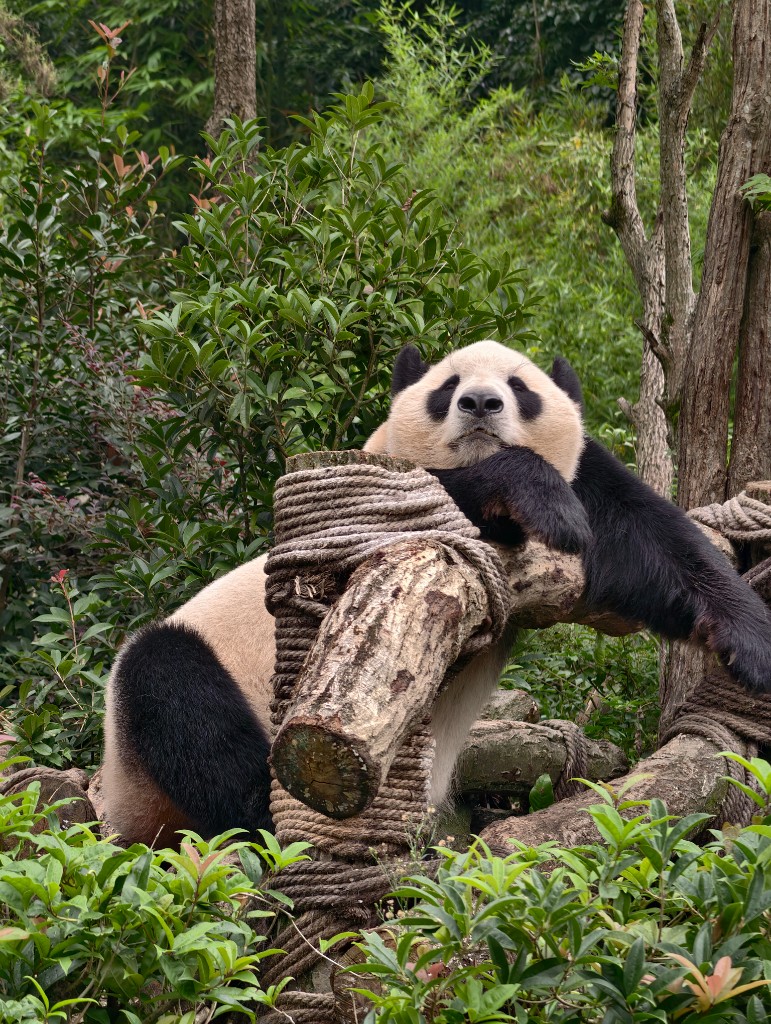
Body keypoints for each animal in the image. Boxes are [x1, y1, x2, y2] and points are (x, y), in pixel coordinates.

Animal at [103, 340, 771, 847]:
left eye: (519, 387)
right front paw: (540, 499)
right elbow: (426, 503)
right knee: (176, 694)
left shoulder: (593, 482)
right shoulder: (368, 489)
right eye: (446, 387)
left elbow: (652, 545)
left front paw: (752, 644)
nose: (479, 403)